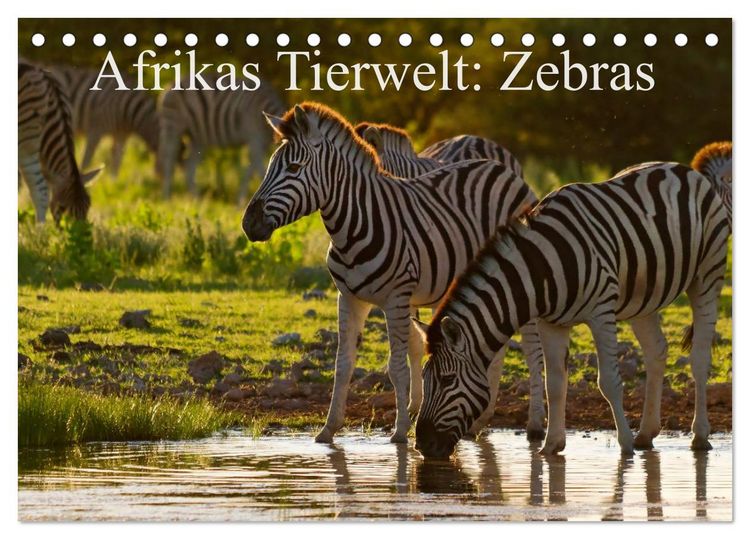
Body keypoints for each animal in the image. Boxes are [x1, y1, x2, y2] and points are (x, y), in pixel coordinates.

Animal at [413, 162, 729, 458]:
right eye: (424, 378)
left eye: (447, 380)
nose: (422, 445)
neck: (540, 268)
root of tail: (682, 169)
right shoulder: (550, 323)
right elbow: (554, 384)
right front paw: (551, 446)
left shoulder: (601, 312)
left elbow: (608, 381)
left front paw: (625, 447)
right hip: (643, 299)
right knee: (656, 352)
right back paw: (646, 433)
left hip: (706, 277)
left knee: (700, 358)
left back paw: (699, 436)